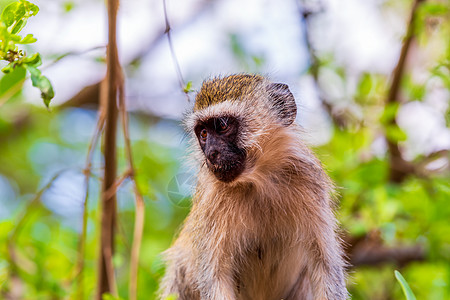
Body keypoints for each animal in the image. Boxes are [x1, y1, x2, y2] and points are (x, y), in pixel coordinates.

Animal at [159, 75, 348, 300]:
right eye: (203, 133)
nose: (211, 153)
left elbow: (325, 267)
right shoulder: (212, 201)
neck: (258, 181)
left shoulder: (309, 181)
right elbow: (214, 278)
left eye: (222, 125)